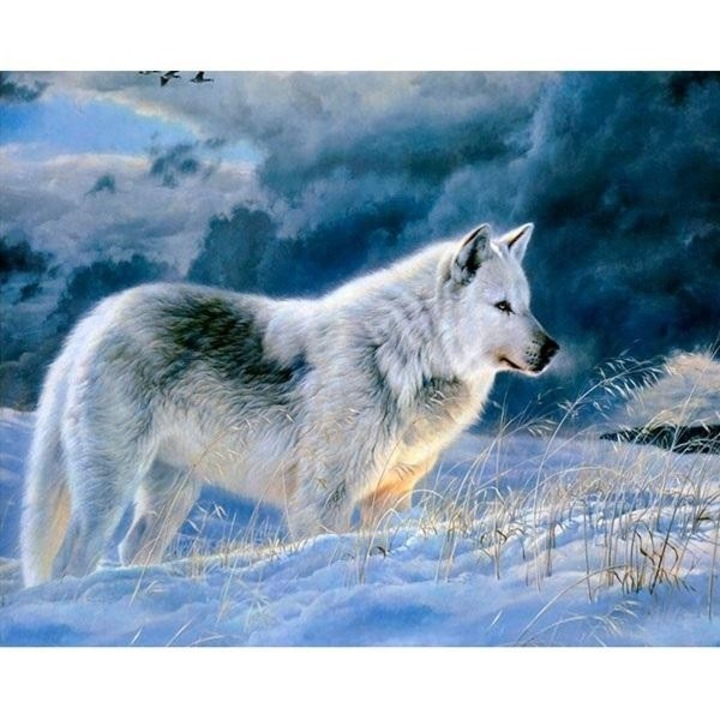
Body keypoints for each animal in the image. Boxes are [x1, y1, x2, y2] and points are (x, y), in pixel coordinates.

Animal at [20, 222, 558, 586]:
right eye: (502, 306)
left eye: (527, 305)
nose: (553, 349)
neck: (404, 353)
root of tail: (97, 318)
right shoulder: (322, 500)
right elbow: (326, 547)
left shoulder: (391, 496)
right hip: (109, 487)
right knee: (72, 559)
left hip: (171, 495)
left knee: (133, 549)